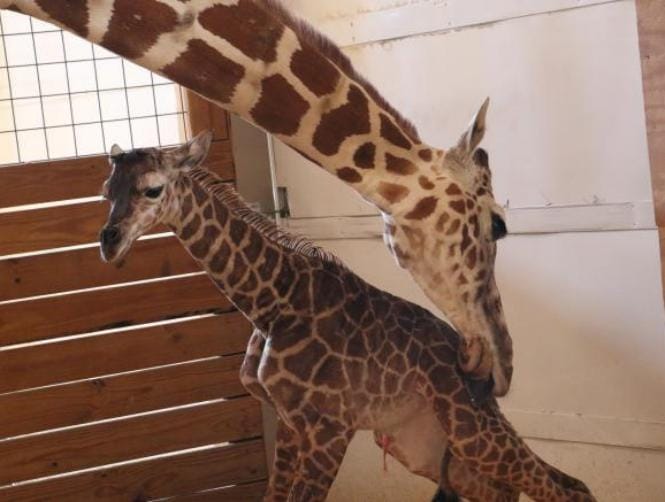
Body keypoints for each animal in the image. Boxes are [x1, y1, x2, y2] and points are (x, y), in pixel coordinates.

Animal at [98, 132, 595, 502]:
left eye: (153, 188)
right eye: (106, 191)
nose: (109, 242)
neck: (270, 306)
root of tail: (484, 378)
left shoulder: (330, 427)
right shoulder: (291, 423)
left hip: (469, 427)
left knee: (566, 488)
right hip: (426, 447)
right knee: (517, 489)